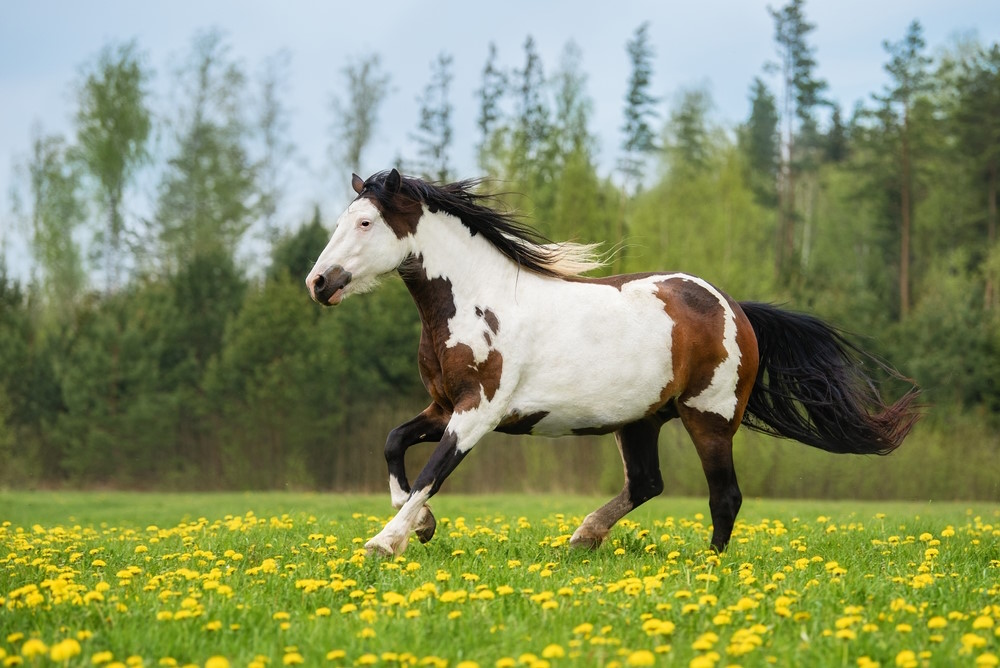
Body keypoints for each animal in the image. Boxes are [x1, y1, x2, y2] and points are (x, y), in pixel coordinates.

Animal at [306, 169, 919, 557]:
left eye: (365, 224)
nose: (318, 282)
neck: (478, 299)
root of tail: (734, 307)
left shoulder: (479, 411)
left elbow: (433, 471)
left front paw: (386, 541)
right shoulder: (442, 406)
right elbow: (393, 443)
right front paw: (422, 527)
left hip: (709, 417)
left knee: (725, 496)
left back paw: (710, 568)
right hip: (639, 420)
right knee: (647, 483)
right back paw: (585, 537)